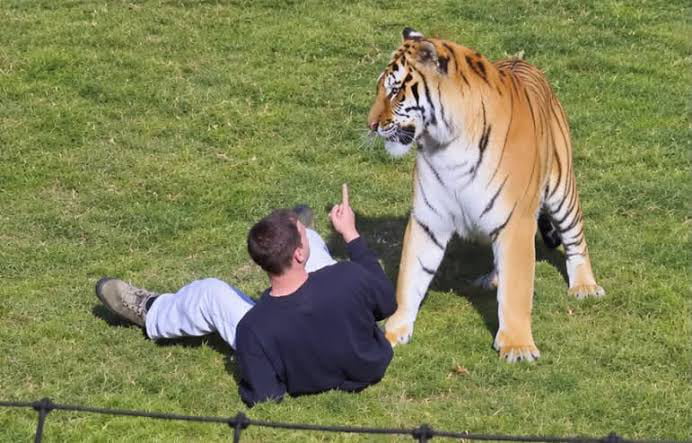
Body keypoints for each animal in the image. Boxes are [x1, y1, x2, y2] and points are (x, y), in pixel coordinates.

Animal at [367, 28, 605, 362]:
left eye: (396, 91)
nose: (371, 125)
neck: (447, 145)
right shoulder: (428, 219)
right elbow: (410, 276)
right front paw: (393, 331)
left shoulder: (516, 221)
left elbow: (517, 288)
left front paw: (517, 346)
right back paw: (491, 279)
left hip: (562, 190)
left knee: (575, 239)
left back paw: (585, 286)